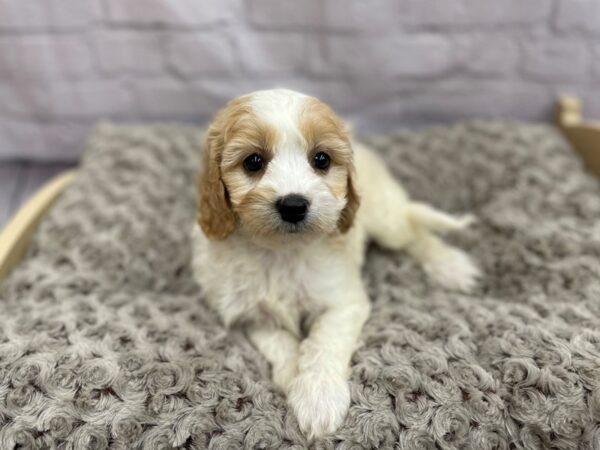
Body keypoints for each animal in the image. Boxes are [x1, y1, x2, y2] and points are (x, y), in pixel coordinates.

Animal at [190, 89, 480, 440]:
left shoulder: (343, 302)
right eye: (254, 162)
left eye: (321, 160)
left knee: (414, 232)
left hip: (386, 220)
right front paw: (293, 380)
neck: (281, 251)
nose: (294, 205)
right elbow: (281, 343)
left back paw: (450, 266)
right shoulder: (252, 314)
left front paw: (318, 397)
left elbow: (323, 344)